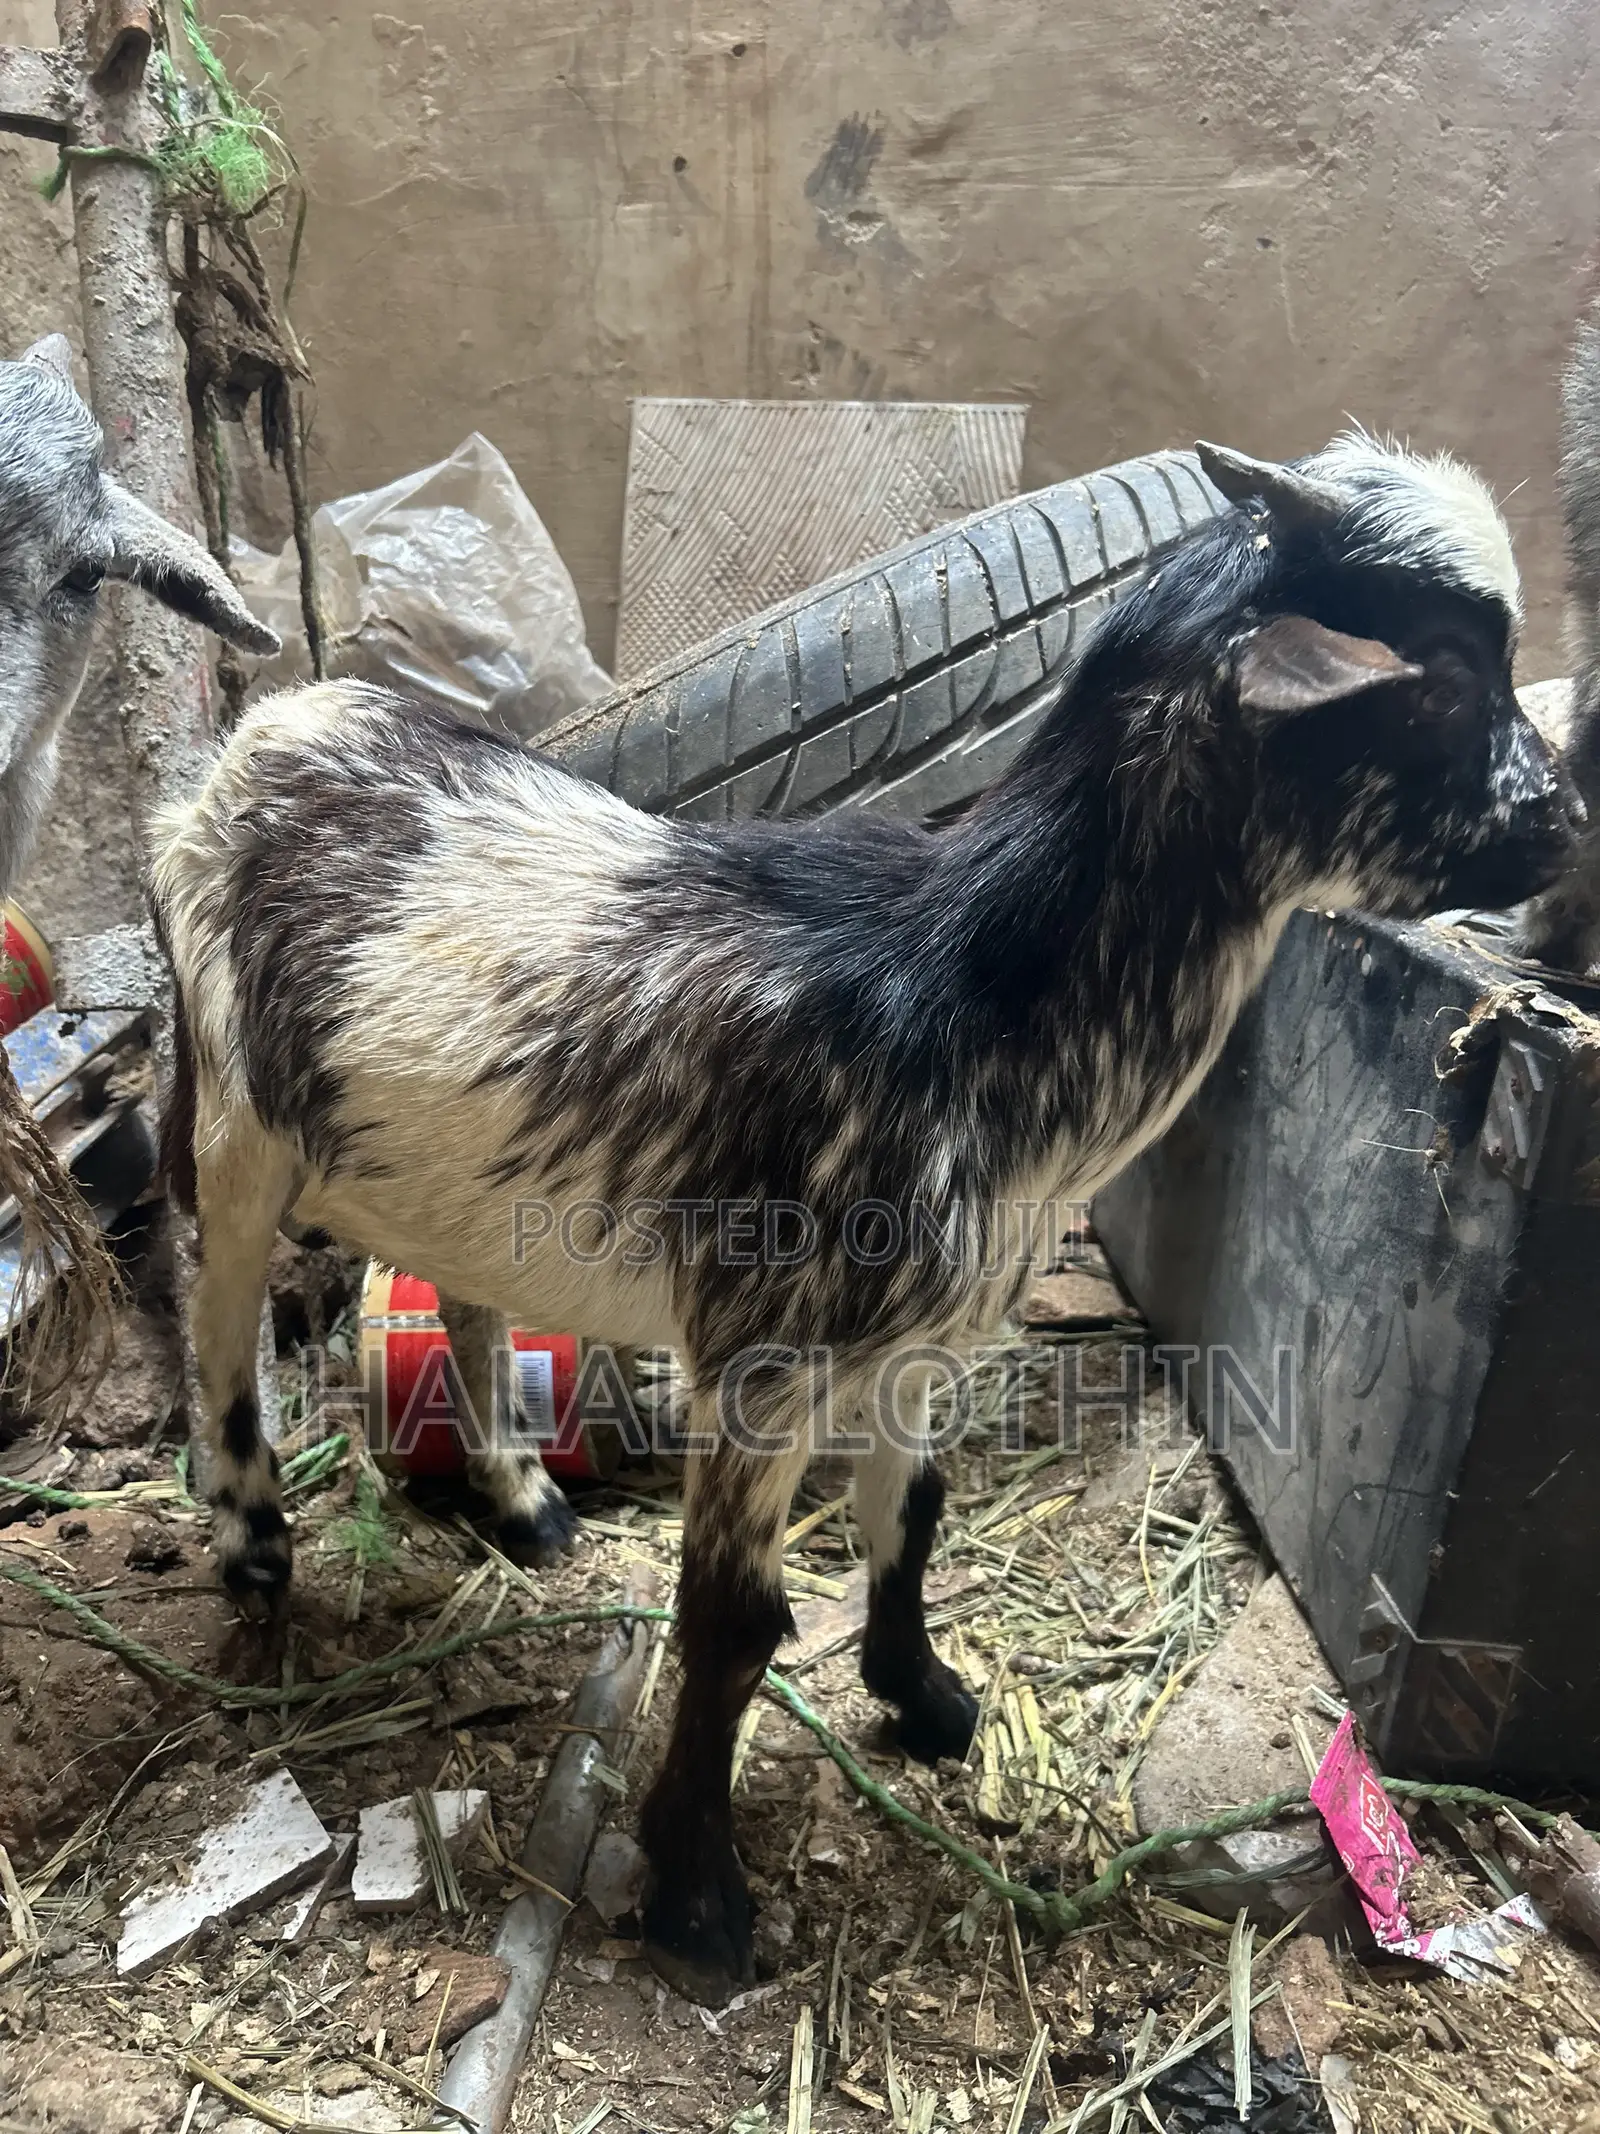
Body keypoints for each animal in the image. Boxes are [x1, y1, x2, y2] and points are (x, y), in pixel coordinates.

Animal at [151, 430, 1576, 2006]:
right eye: (1440, 675)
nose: (1567, 822)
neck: (966, 993)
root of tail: (273, 723)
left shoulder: (920, 1339)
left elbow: (918, 1510)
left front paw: (927, 1696)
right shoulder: (762, 1355)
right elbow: (733, 1621)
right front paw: (697, 1896)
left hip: (441, 1161)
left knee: (454, 1287)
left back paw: (520, 1497)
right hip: (228, 1110)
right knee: (209, 1304)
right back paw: (253, 1540)